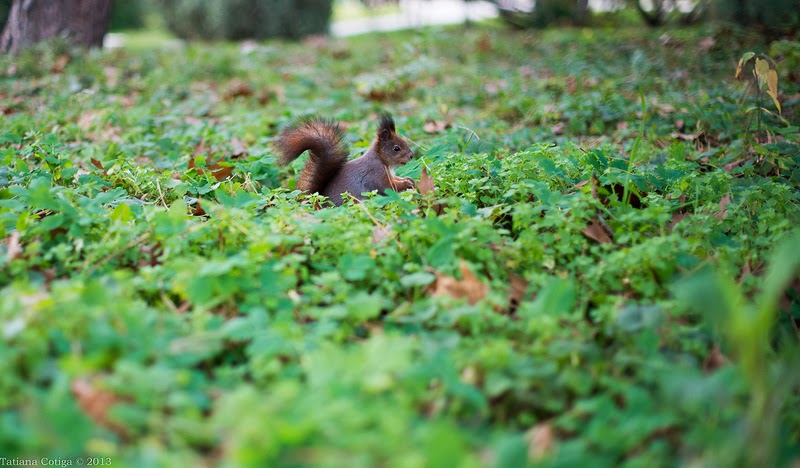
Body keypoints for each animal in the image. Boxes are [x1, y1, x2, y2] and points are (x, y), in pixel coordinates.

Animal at [276, 113, 415, 206]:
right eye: (396, 148)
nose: (412, 155)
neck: (381, 160)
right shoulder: (376, 174)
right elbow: (388, 187)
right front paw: (406, 184)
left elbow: (396, 180)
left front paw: (408, 179)